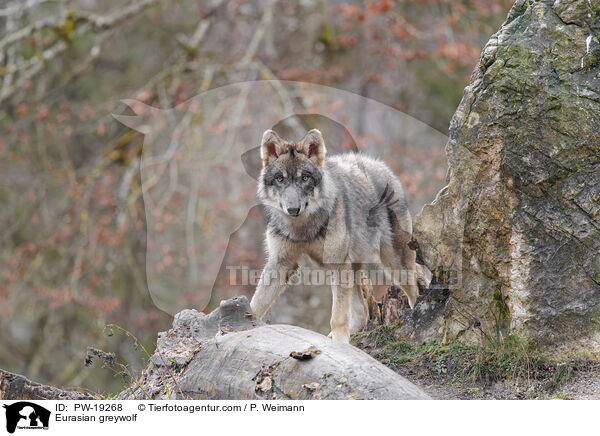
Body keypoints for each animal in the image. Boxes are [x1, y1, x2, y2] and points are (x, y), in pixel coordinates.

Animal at [250, 127, 426, 342]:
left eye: (305, 178)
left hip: (394, 265)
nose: (293, 209)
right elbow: (255, 304)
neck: (303, 228)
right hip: (355, 267)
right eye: (280, 179)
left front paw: (340, 344)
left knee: (415, 287)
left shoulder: (337, 264)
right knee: (363, 311)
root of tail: (383, 167)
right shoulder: (281, 264)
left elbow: (338, 316)